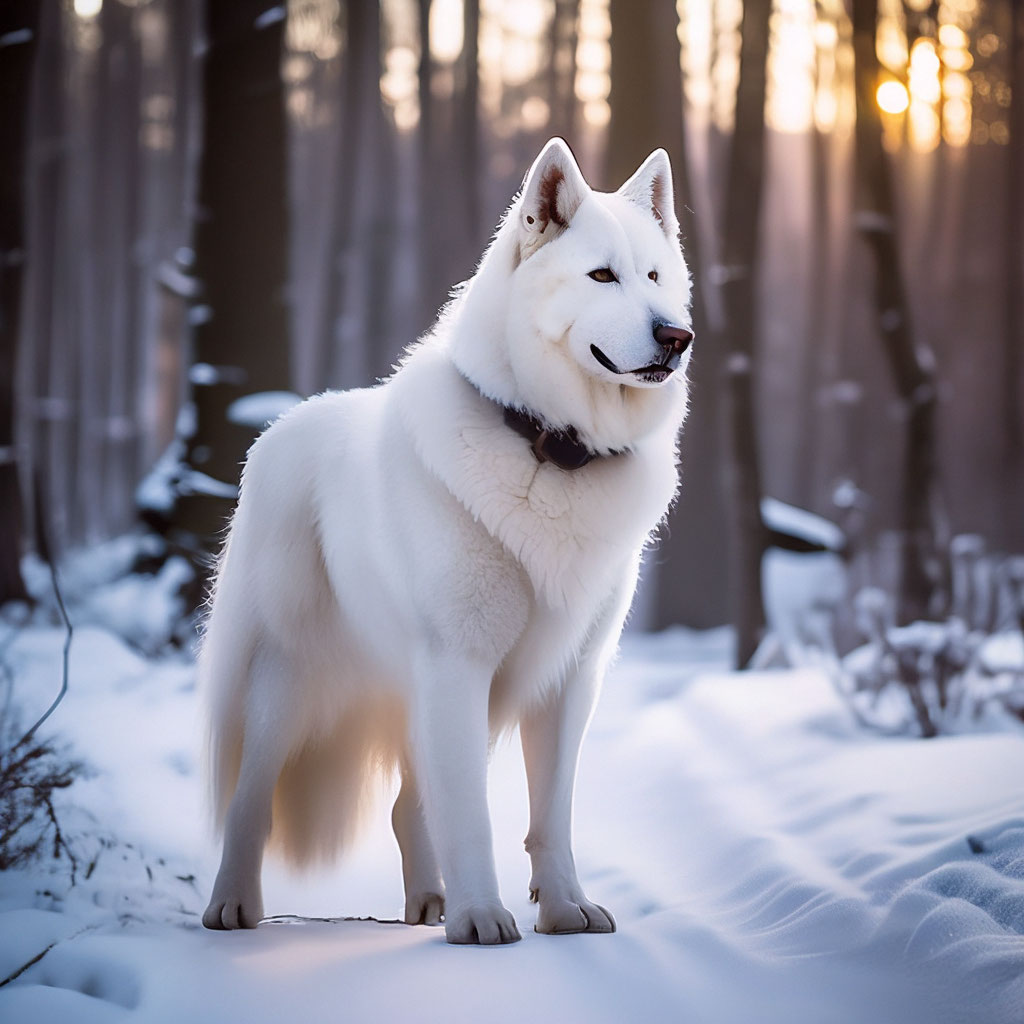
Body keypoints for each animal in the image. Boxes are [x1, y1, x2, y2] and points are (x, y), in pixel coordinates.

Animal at [199, 136, 696, 942]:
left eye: (655, 279)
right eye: (602, 276)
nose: (676, 338)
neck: (549, 448)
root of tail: (283, 423)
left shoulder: (567, 681)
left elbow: (549, 816)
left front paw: (563, 910)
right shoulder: (459, 664)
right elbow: (473, 814)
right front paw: (484, 919)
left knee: (409, 806)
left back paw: (429, 906)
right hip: (291, 680)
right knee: (252, 799)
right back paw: (233, 906)